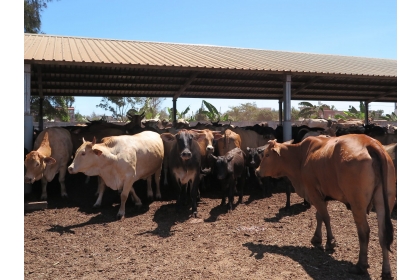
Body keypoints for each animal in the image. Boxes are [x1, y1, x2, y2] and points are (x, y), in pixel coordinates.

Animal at [256, 135, 398, 278]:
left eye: (267, 155)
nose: (257, 171)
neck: (301, 156)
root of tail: (370, 143)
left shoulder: (313, 192)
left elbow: (325, 217)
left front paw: (330, 241)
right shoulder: (323, 195)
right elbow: (319, 216)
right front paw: (317, 238)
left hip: (357, 205)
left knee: (364, 232)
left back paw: (360, 266)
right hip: (384, 200)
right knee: (383, 234)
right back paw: (386, 271)